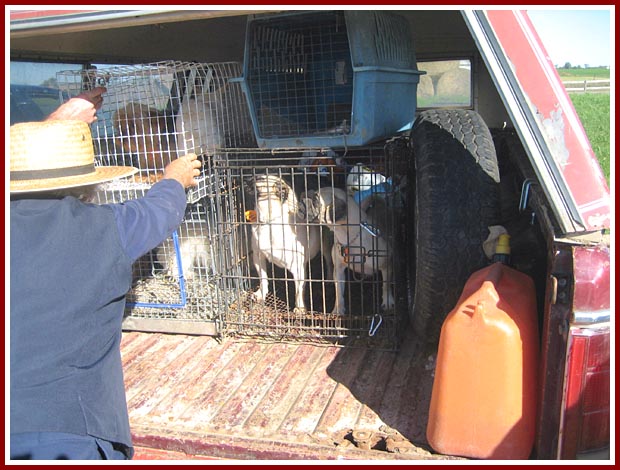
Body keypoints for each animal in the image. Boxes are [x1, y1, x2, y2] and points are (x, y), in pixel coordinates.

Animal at [248, 173, 332, 312]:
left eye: (260, 179)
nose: (250, 178)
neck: (271, 221)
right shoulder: (258, 256)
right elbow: (263, 278)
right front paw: (261, 293)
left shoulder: (297, 268)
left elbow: (299, 290)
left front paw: (300, 307)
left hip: (326, 247)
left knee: (329, 262)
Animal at [300, 187, 394, 316]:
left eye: (316, 198)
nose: (301, 195)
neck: (348, 238)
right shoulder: (339, 270)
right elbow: (339, 292)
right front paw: (338, 309)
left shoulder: (386, 265)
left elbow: (386, 285)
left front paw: (388, 301)